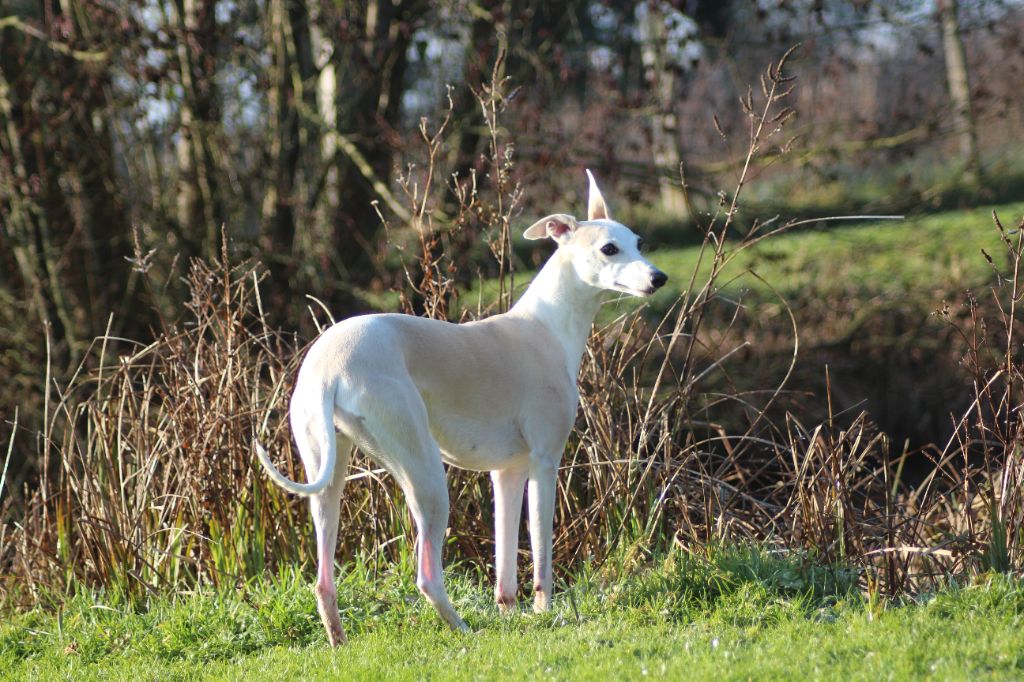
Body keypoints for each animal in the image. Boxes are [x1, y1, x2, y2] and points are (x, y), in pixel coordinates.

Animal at [260, 169, 667, 643]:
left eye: (638, 241)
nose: (658, 278)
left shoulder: (507, 472)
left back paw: (339, 641)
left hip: (328, 473)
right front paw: (545, 612)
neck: (546, 326)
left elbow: (506, 563)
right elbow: (542, 554)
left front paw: (511, 613)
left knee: (323, 578)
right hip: (425, 472)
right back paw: (464, 630)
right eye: (609, 248)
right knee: (427, 575)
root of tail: (328, 367)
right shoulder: (545, 462)